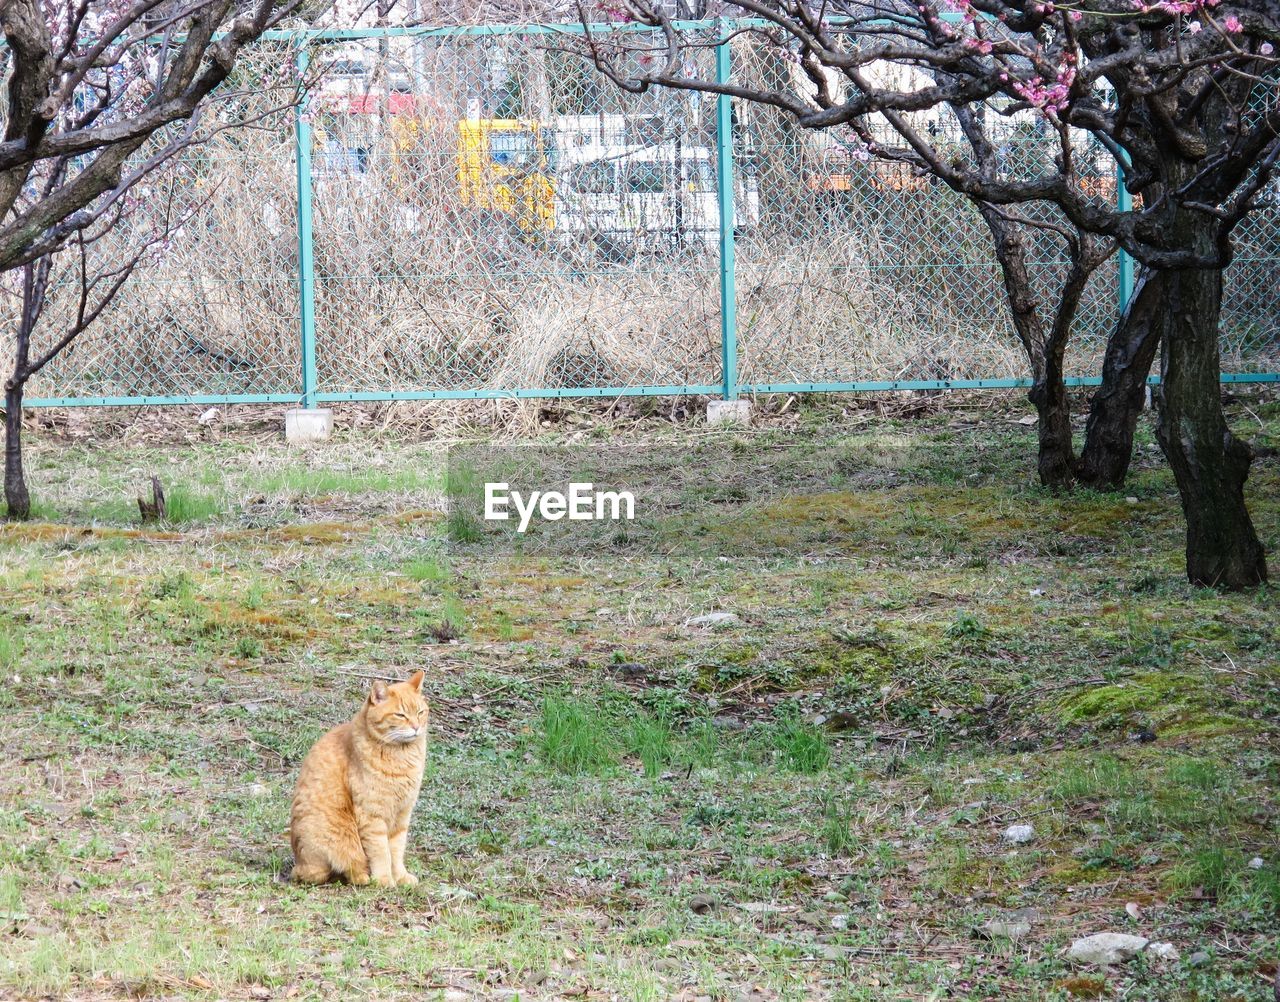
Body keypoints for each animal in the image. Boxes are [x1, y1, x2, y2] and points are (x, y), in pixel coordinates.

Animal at [290, 675, 430, 885]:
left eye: (420, 712)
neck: (402, 757)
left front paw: (400, 877)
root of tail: (298, 863)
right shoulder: (372, 816)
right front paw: (384, 880)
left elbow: (396, 851)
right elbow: (382, 853)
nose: (416, 727)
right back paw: (363, 876)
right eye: (400, 715)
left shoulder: (402, 815)